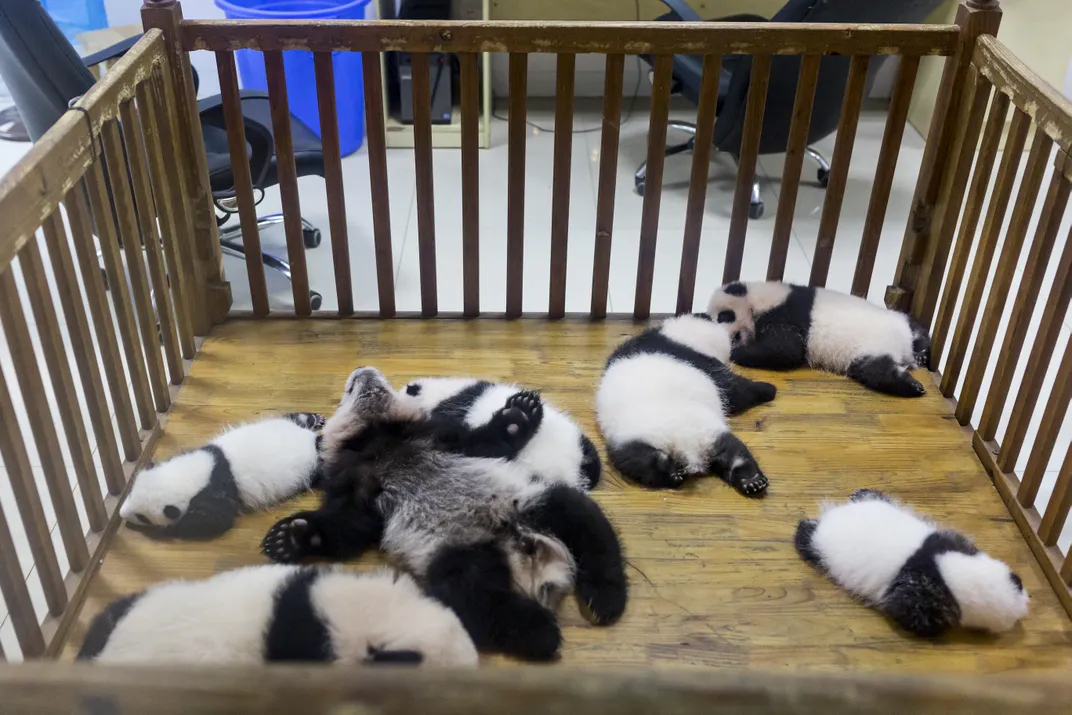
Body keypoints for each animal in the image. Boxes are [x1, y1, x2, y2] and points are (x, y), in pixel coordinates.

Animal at [119, 412, 325, 539]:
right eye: (129, 494)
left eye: (142, 517)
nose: (122, 514)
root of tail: (311, 441)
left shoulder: (217, 492)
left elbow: (215, 521)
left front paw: (175, 529)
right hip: (284, 424)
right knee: (294, 417)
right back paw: (315, 418)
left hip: (312, 466)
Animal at [596, 313, 776, 494]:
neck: (679, 334)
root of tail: (686, 449)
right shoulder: (701, 361)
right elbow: (735, 389)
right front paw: (768, 390)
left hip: (639, 439)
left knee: (637, 460)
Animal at [706, 281, 932, 397]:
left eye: (724, 316)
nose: (727, 337)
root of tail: (904, 352)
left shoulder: (786, 314)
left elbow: (785, 350)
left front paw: (739, 352)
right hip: (895, 330)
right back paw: (920, 358)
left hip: (869, 346)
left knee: (879, 372)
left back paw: (913, 386)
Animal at [795, 489, 1030, 637]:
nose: (1026, 605)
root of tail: (833, 514)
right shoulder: (920, 597)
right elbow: (907, 613)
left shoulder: (951, 543)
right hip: (820, 545)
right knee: (808, 539)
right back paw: (803, 531)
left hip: (877, 502)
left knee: (870, 495)